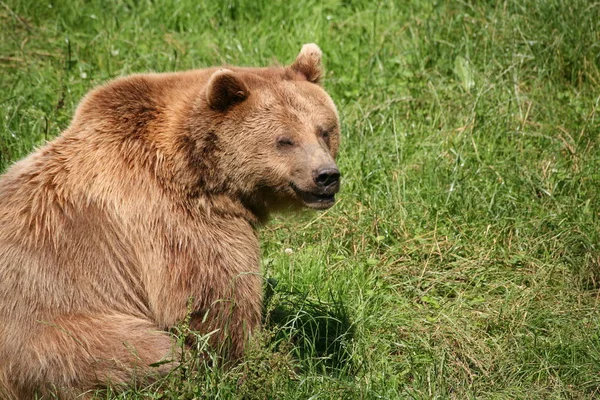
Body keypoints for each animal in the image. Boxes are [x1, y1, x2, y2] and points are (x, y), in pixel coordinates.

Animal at [0, 43, 338, 396]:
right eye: (284, 140)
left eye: (324, 131)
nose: (326, 176)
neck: (199, 171)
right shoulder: (175, 218)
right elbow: (213, 301)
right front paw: (263, 365)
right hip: (57, 332)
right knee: (146, 353)